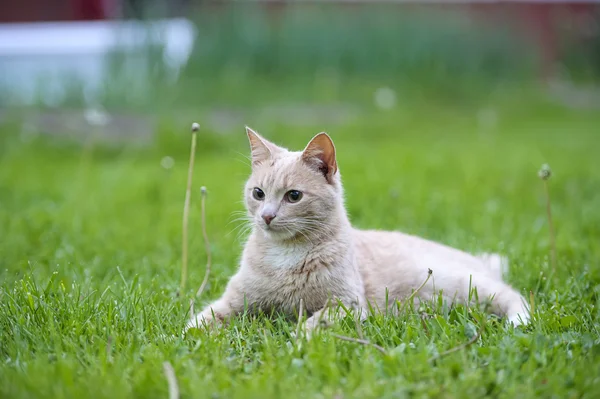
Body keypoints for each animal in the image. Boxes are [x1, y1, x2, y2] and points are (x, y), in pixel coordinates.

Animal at [188, 127, 528, 334]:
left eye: (293, 196)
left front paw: (295, 341)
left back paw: (518, 321)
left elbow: (312, 325)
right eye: (258, 193)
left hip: (461, 284)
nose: (267, 216)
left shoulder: (346, 305)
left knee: (514, 295)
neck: (284, 255)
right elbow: (202, 320)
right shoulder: (235, 299)